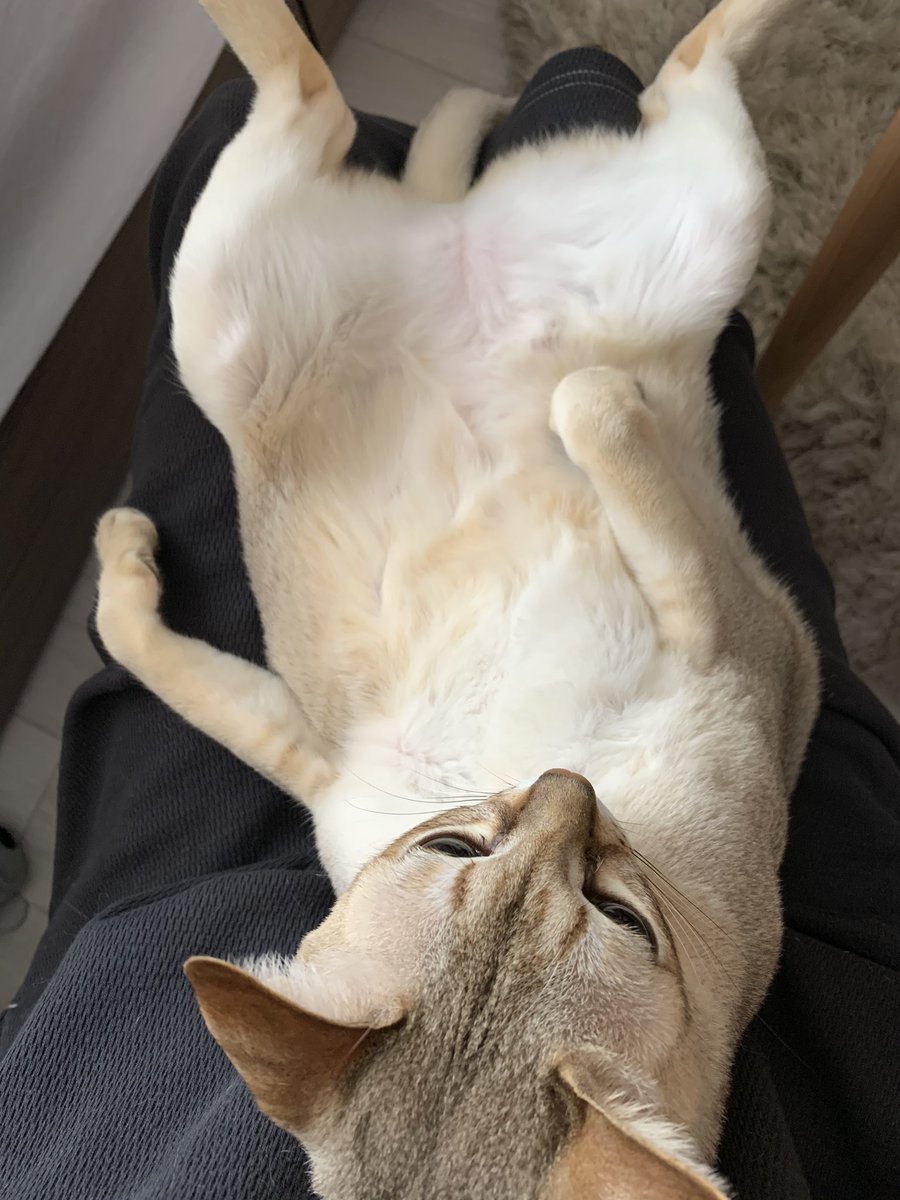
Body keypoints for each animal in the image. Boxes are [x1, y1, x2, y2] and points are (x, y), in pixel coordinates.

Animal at [94, 0, 819, 1195]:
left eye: (621, 917)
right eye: (455, 852)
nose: (562, 789)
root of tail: (452, 234)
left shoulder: (744, 642)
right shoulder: (334, 769)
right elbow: (148, 647)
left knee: (323, 94)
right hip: (234, 311)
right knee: (333, 98)